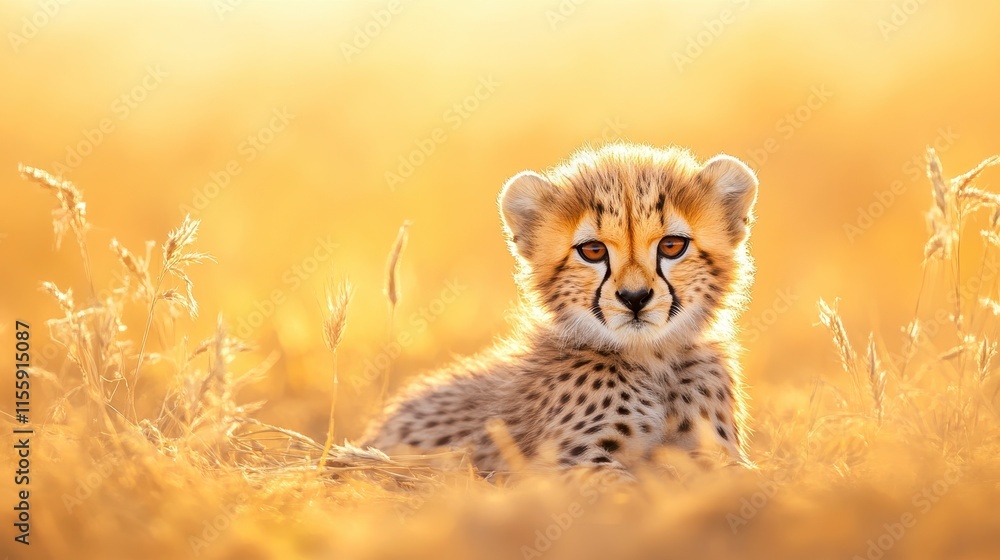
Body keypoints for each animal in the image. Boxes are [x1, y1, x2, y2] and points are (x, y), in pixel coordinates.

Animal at [362, 142, 758, 476]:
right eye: (593, 251)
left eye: (672, 246)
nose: (634, 298)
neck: (652, 360)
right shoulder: (565, 464)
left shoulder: (718, 457)